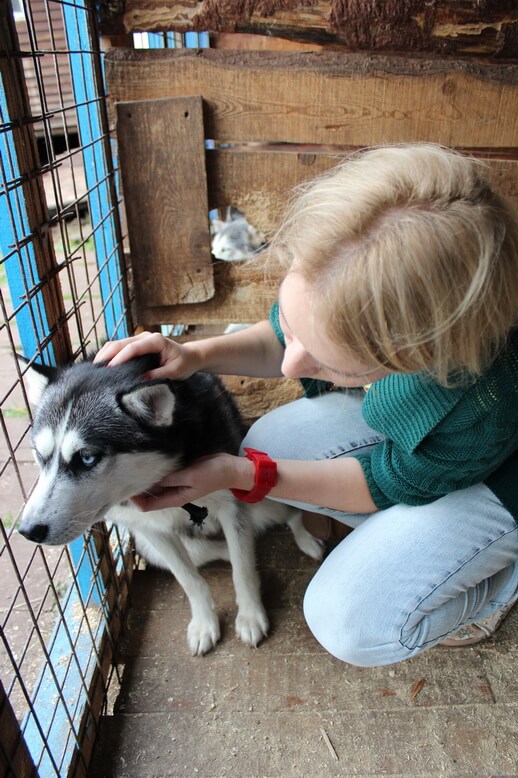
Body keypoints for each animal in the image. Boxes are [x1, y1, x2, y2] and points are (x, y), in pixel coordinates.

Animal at [19, 354, 324, 652]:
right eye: (39, 455)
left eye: (87, 457)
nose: (28, 531)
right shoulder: (148, 528)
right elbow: (189, 580)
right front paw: (204, 624)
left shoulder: (233, 506)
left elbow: (243, 570)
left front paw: (250, 616)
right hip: (149, 547)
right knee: (214, 550)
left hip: (266, 498)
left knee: (288, 516)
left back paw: (307, 541)